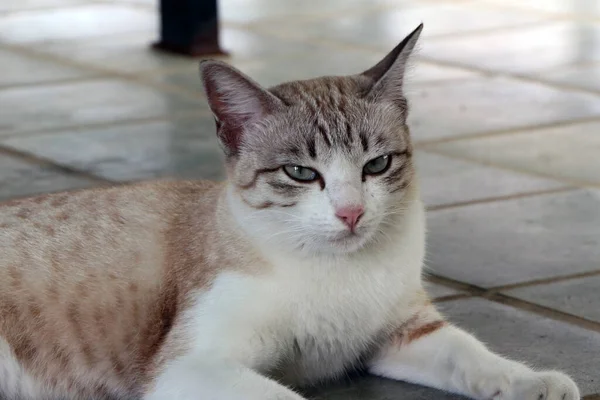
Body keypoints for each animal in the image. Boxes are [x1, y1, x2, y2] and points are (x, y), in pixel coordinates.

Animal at [0, 25, 580, 400]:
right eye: (301, 173)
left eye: (377, 164)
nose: (350, 213)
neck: (334, 270)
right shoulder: (189, 367)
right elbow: (285, 397)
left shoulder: (402, 333)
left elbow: (470, 354)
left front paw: (532, 381)